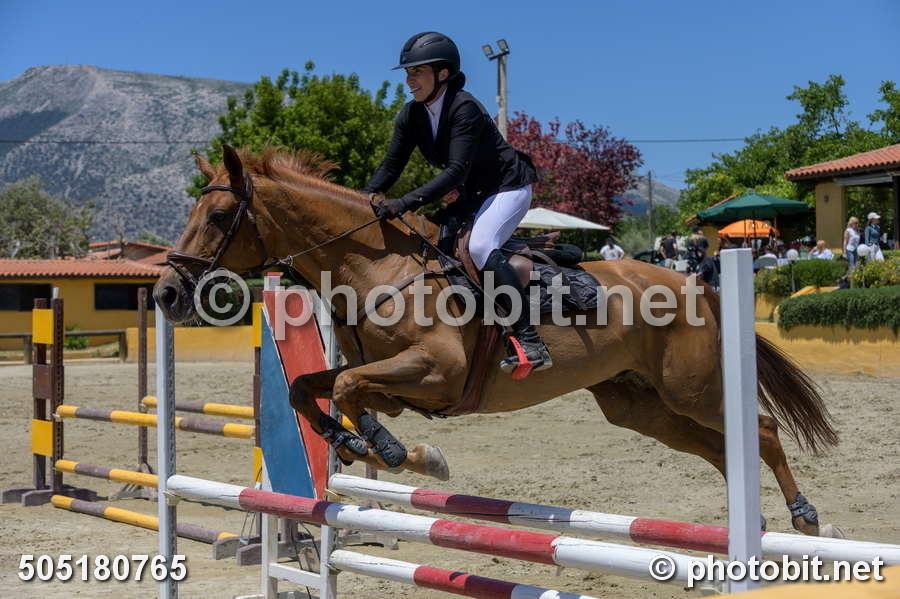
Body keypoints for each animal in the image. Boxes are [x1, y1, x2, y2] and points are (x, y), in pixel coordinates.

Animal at [154, 145, 840, 536]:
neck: (376, 269)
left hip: (690, 389)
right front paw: (356, 442)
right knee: (719, 449)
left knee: (760, 430)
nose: (164, 294)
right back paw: (753, 521)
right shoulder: (397, 381)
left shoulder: (435, 372)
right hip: (640, 406)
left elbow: (347, 386)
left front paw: (389, 447)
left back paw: (805, 517)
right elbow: (308, 386)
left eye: (220, 216)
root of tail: (695, 281)